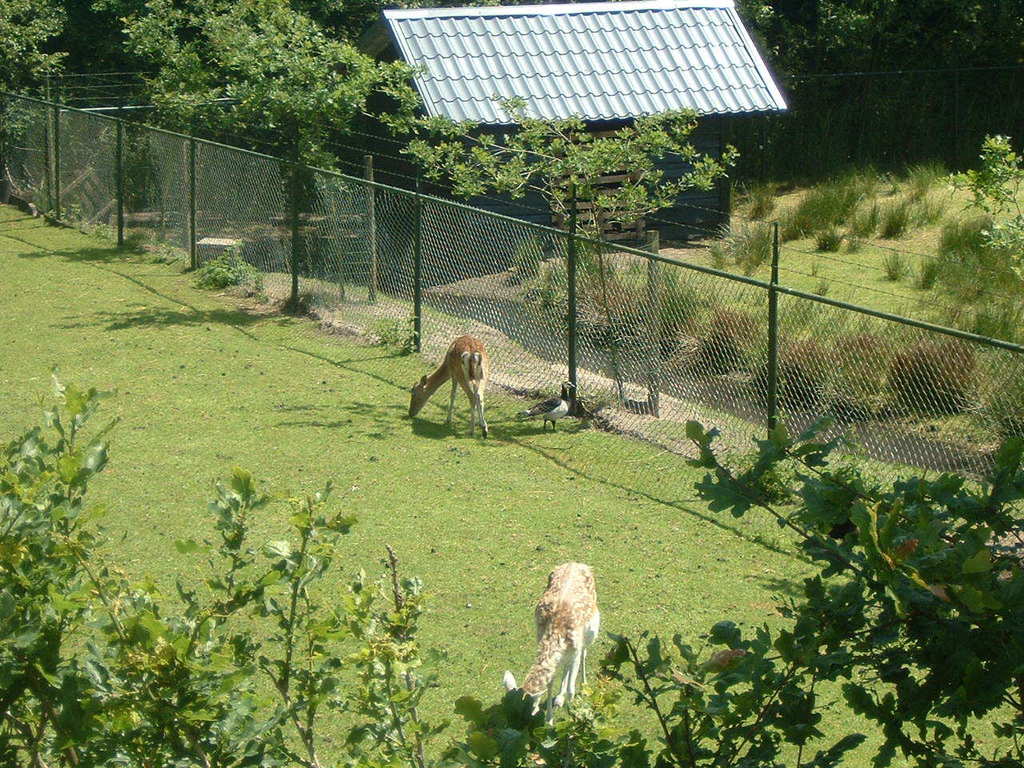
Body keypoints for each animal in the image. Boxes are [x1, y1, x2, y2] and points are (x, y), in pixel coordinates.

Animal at [499, 561, 598, 724]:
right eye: (510, 706)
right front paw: (549, 720)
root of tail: (577, 563)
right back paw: (559, 698)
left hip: (592, 630)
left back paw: (584, 685)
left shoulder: (575, 653)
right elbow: (551, 683)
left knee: (584, 653)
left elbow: (571, 689)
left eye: (524, 710)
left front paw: (574, 717)